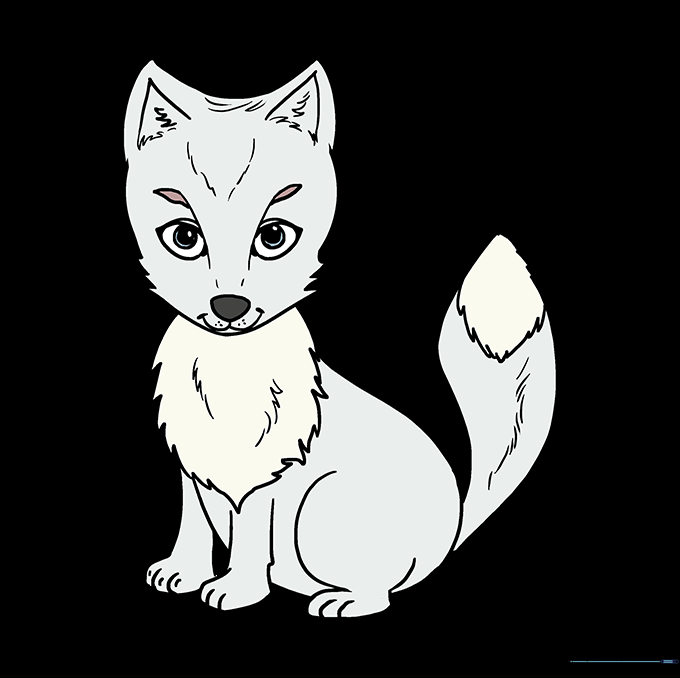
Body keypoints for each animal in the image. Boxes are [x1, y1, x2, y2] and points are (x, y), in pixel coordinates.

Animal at [124, 60, 556, 618]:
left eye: (273, 237)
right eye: (183, 237)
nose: (229, 306)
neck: (228, 366)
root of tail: (451, 531)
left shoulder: (265, 475)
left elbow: (249, 537)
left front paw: (237, 590)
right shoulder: (192, 465)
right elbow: (192, 524)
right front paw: (184, 572)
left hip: (317, 511)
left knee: (380, 590)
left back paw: (341, 600)